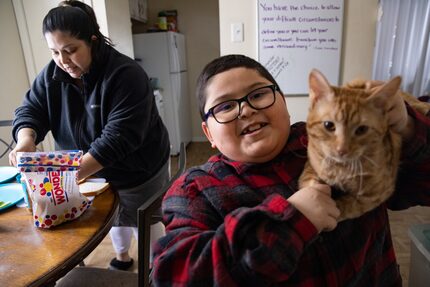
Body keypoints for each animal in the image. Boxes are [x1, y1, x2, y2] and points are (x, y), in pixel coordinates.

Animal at [298, 70, 404, 223]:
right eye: (328, 125)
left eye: (362, 130)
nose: (342, 150)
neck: (340, 168)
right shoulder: (312, 162)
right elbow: (308, 180)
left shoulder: (378, 193)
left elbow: (348, 206)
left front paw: (332, 211)